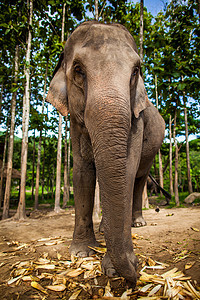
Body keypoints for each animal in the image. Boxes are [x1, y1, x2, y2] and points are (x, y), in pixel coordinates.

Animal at [46, 21, 165, 288]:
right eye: (78, 69)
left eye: (136, 71)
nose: (136, 269)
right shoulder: (75, 123)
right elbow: (82, 171)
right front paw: (82, 252)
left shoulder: (137, 119)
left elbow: (127, 170)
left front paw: (112, 266)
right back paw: (104, 230)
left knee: (139, 179)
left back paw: (137, 223)